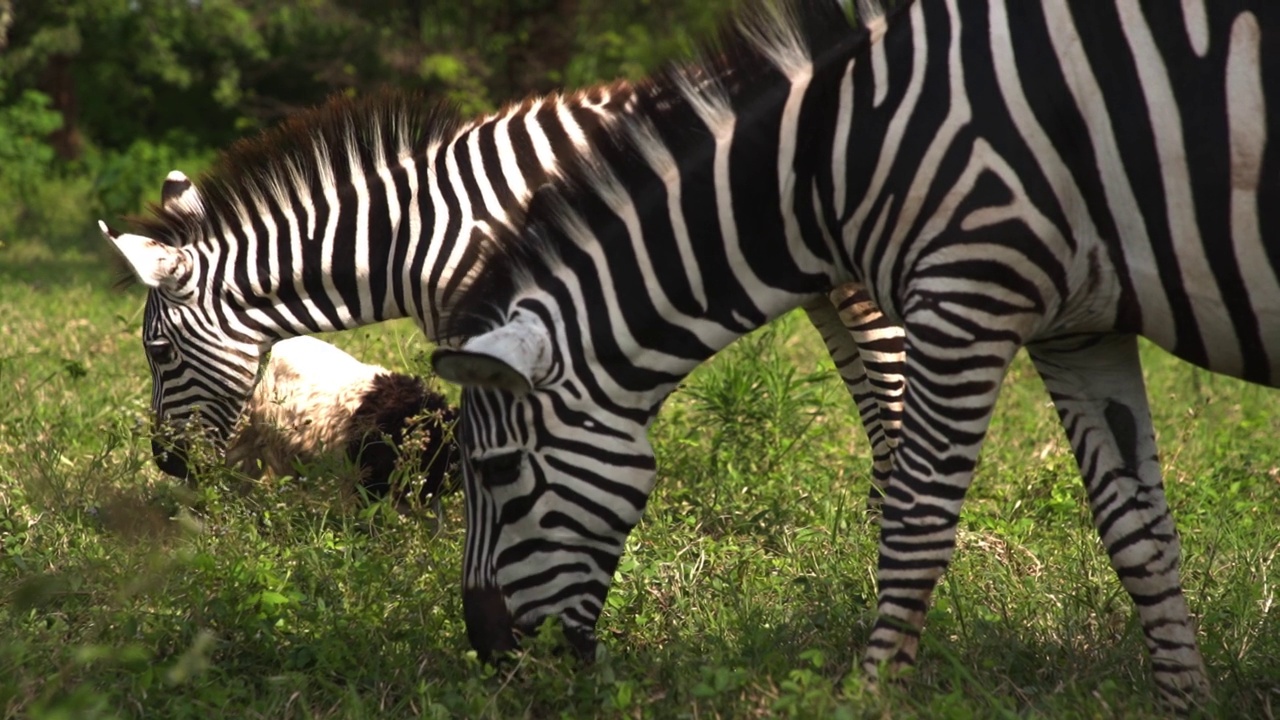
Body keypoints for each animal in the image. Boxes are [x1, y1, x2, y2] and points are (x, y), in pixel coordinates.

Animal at [432, 0, 1280, 707]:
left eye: (497, 472)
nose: (489, 655)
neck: (830, 161)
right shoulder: (1078, 331)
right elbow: (1137, 530)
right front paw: (1185, 702)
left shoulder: (965, 292)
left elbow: (915, 523)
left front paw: (869, 695)